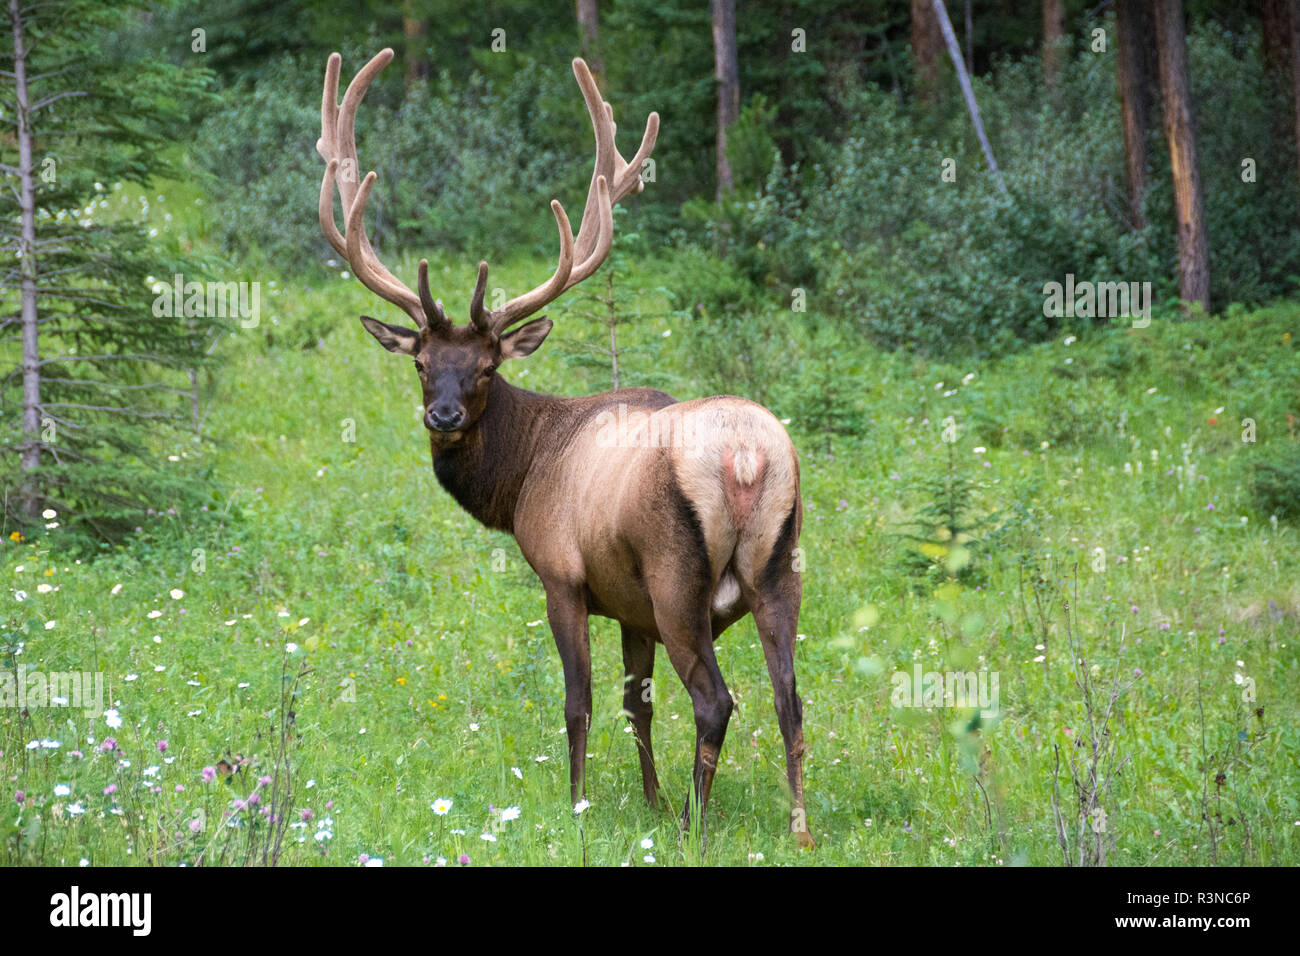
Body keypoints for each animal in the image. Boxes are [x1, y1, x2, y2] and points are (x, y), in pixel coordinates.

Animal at [317, 48, 812, 848]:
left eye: (488, 367)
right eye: (422, 362)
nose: (444, 415)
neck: (520, 479)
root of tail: (748, 458)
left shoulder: (564, 575)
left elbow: (579, 700)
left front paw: (579, 805)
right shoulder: (631, 607)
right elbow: (637, 704)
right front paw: (649, 800)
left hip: (678, 580)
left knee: (717, 700)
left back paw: (694, 826)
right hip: (779, 567)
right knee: (789, 699)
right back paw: (797, 826)